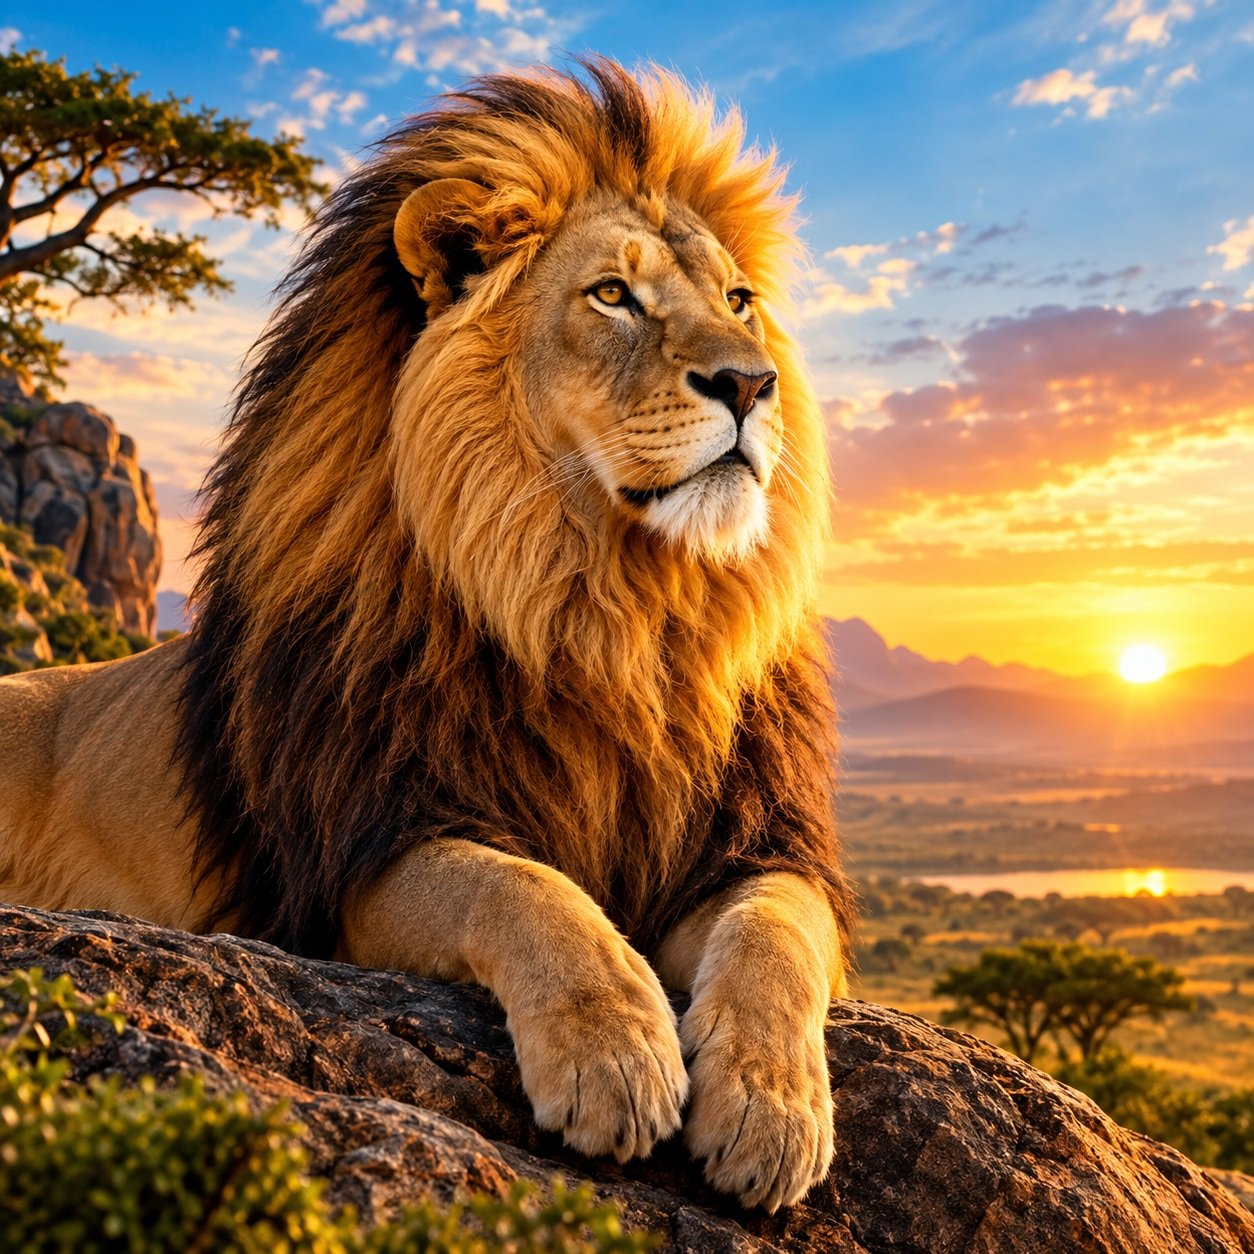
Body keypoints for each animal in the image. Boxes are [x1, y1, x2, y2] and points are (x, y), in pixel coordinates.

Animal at [0, 60, 853, 1211]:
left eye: (737, 303)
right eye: (612, 295)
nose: (751, 384)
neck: (612, 607)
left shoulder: (752, 840)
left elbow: (776, 936)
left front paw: (773, 1107)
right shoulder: (363, 850)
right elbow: (522, 890)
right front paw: (615, 1053)